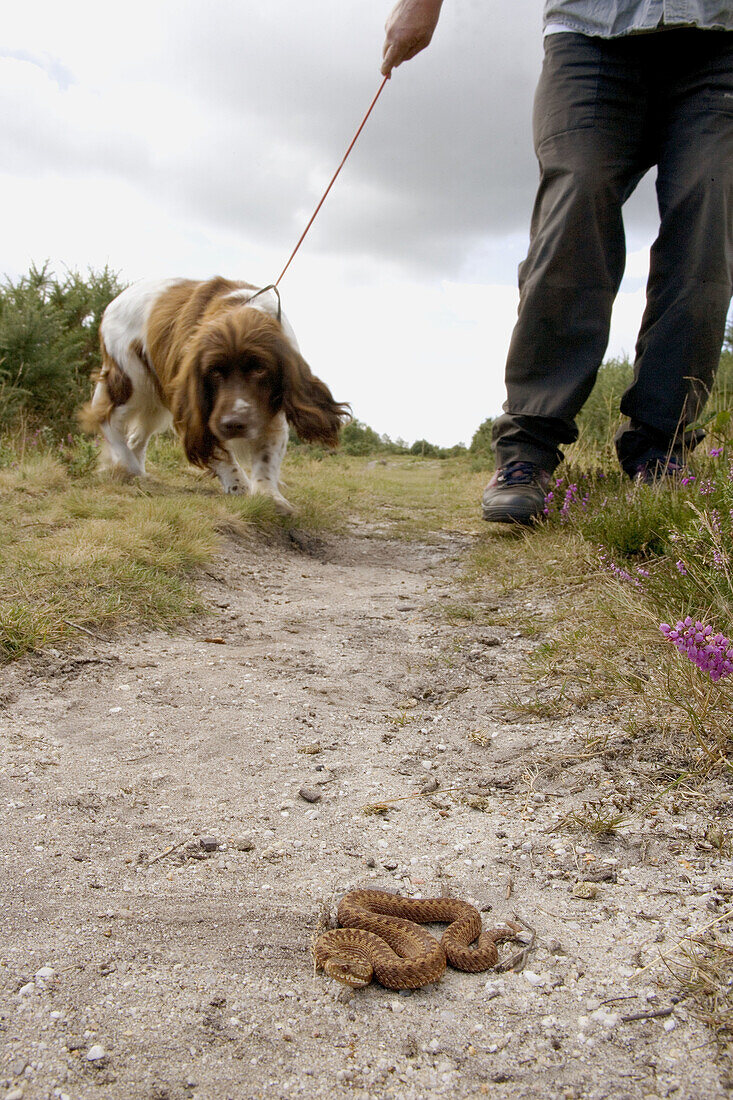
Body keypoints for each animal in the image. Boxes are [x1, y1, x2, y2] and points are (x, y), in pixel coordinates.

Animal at [79, 277, 347, 512]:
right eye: (214, 372)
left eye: (260, 369)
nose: (234, 423)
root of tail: (113, 303)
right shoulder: (196, 409)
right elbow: (222, 454)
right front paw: (239, 486)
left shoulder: (269, 413)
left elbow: (267, 455)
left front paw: (270, 496)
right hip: (132, 380)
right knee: (107, 419)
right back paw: (129, 466)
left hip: (153, 403)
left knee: (137, 437)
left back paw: (138, 473)